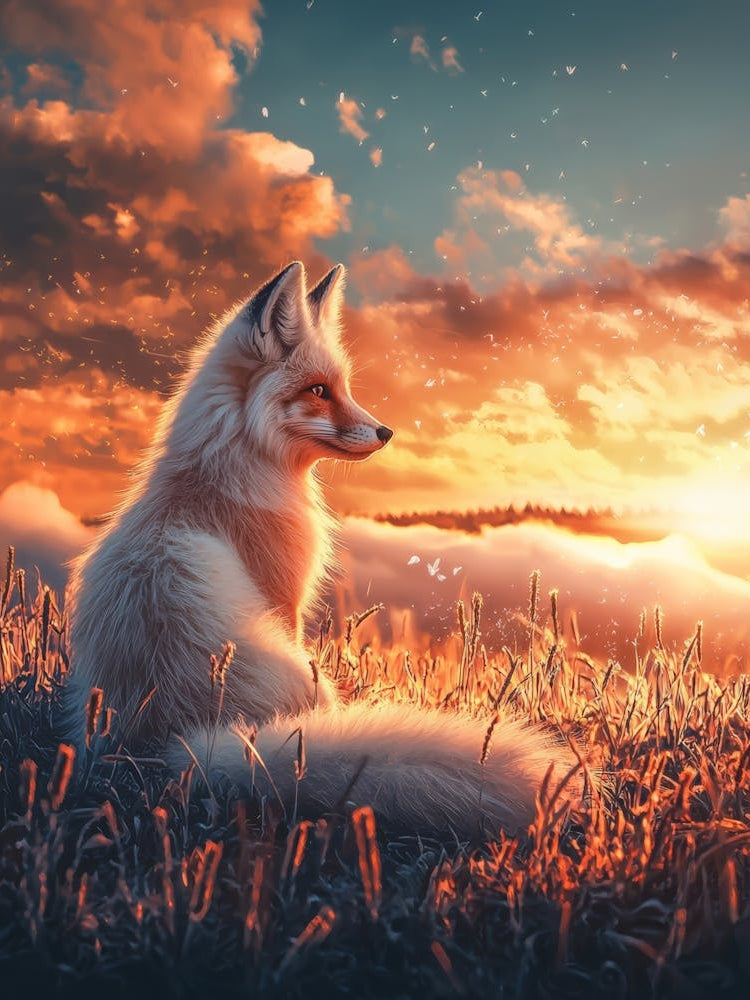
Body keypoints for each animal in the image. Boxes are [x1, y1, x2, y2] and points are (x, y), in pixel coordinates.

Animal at [65, 260, 576, 837]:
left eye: (343, 387)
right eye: (318, 390)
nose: (386, 431)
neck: (224, 471)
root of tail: (172, 746)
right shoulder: (285, 599)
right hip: (310, 681)